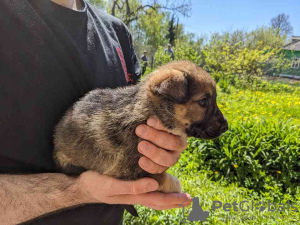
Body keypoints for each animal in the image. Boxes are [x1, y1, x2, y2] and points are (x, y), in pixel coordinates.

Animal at [54, 59, 227, 193]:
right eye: (203, 102)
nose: (226, 127)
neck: (149, 110)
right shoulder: (132, 170)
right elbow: (168, 180)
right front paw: (178, 186)